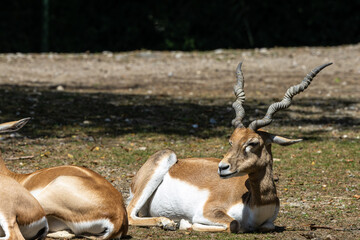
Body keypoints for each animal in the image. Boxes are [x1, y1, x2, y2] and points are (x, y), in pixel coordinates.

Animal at [128, 62, 334, 232]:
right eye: (231, 141)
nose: (222, 167)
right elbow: (234, 224)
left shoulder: (268, 223)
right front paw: (185, 223)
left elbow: (265, 226)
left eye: (252, 143)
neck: (255, 205)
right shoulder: (207, 212)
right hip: (165, 159)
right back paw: (167, 222)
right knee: (130, 214)